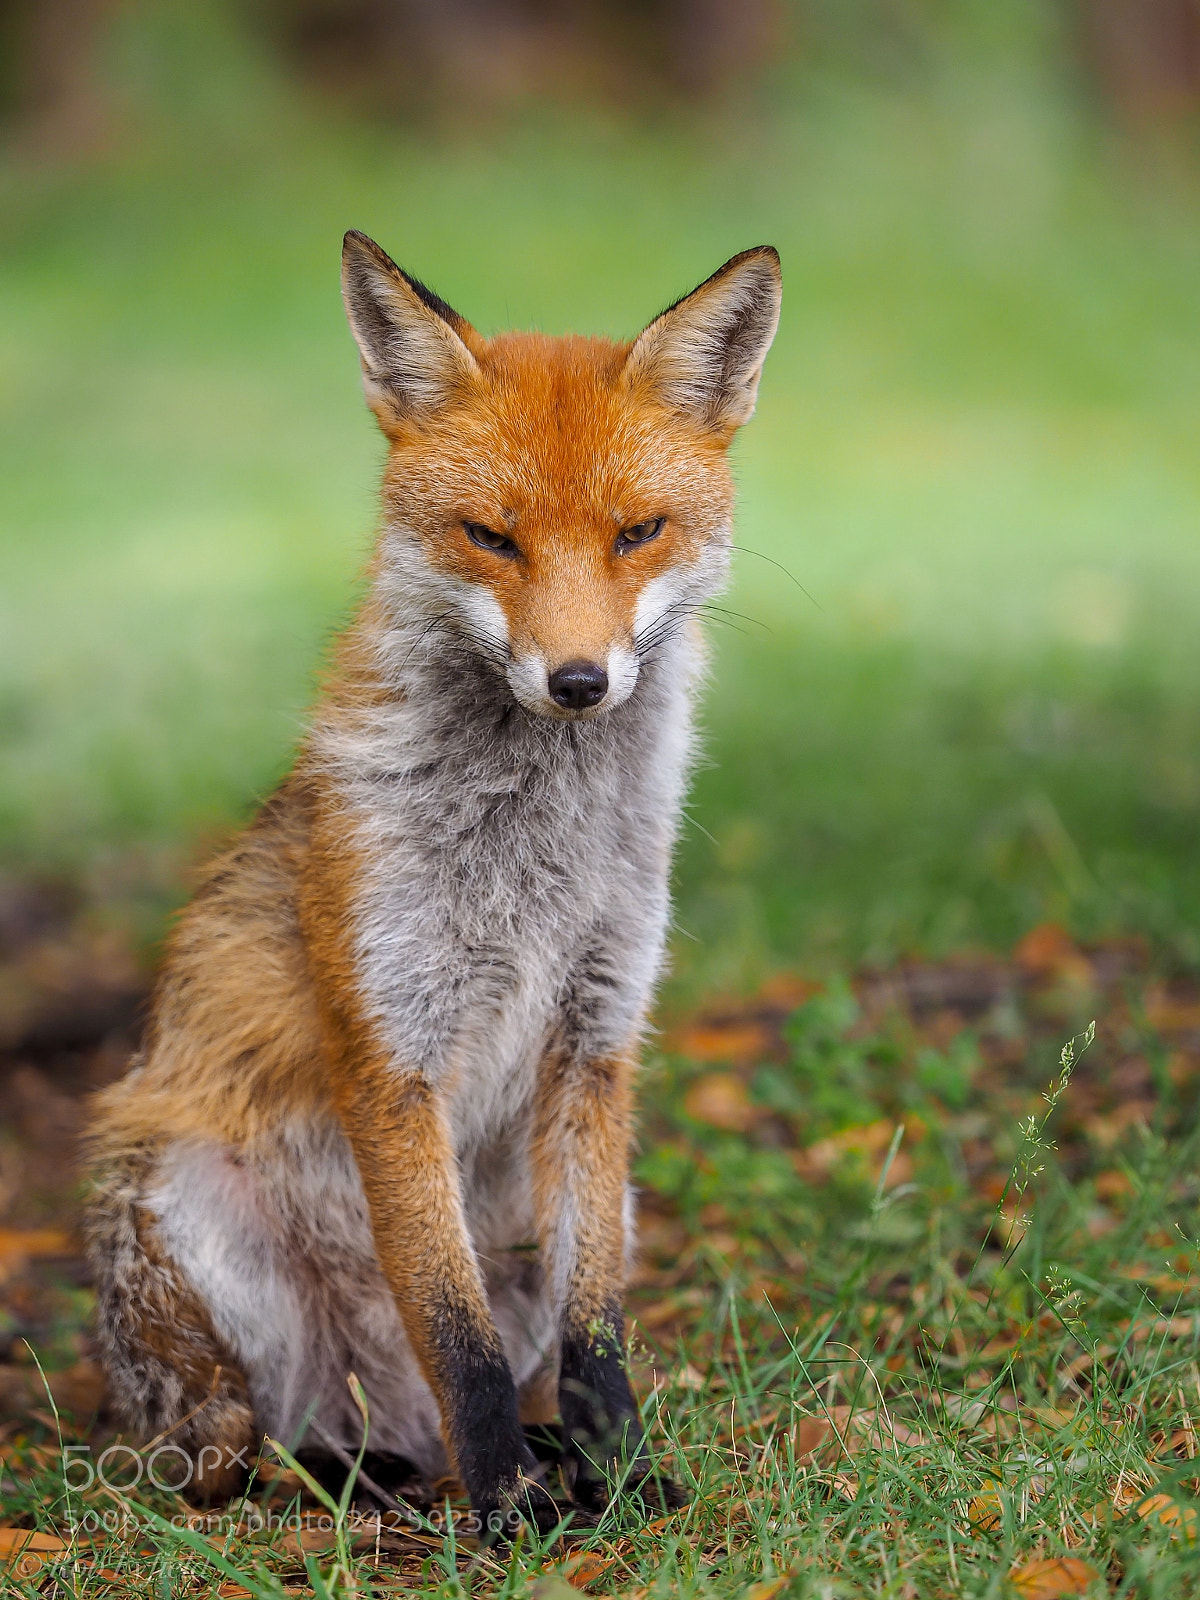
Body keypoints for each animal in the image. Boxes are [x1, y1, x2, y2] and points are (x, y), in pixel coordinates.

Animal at [84, 230, 781, 1532]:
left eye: (638, 532)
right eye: (490, 537)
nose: (576, 680)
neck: (537, 854)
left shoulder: (597, 1040)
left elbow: (597, 1334)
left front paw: (616, 1474)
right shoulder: (393, 1052)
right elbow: (455, 1332)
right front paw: (506, 1504)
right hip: (190, 1212)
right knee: (246, 1449)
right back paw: (367, 1474)